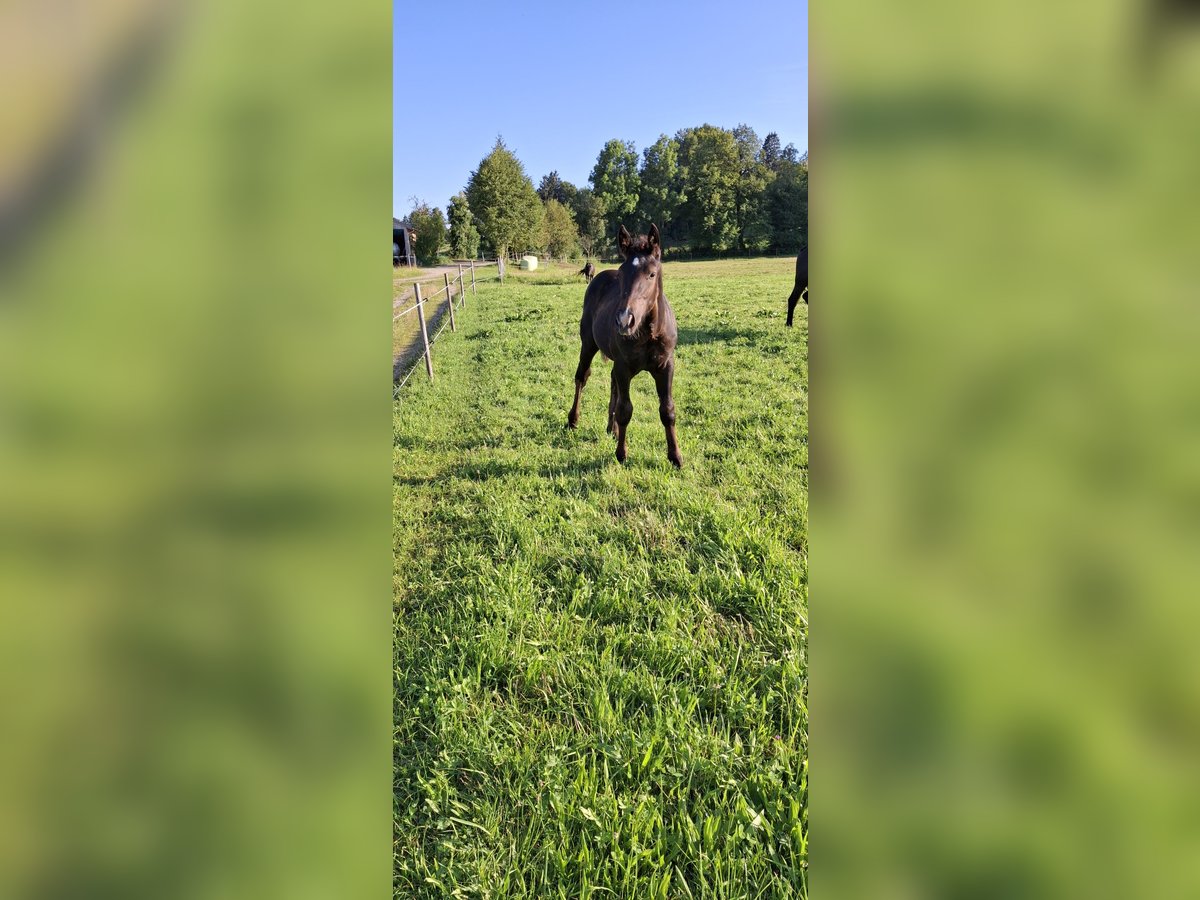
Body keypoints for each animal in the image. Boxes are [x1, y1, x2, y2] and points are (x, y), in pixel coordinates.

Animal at [564, 224, 681, 468]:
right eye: (622, 274)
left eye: (651, 274)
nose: (624, 320)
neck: (649, 333)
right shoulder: (624, 367)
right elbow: (625, 409)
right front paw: (621, 454)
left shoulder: (666, 366)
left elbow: (667, 410)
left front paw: (675, 457)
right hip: (588, 344)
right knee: (582, 376)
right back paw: (573, 420)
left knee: (612, 383)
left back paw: (612, 429)